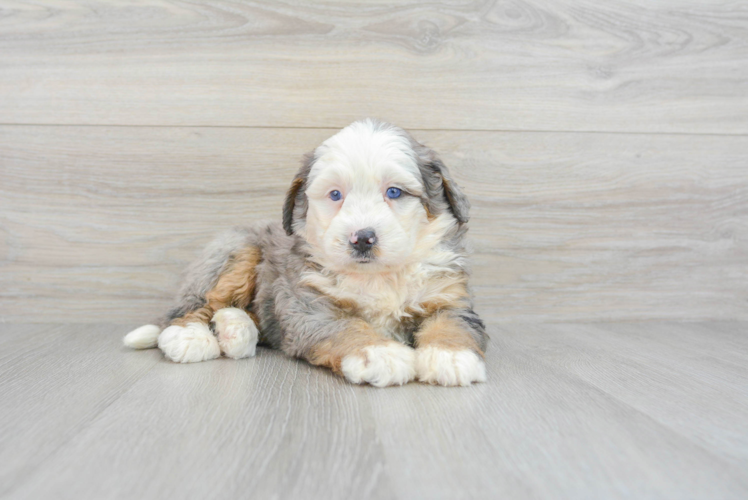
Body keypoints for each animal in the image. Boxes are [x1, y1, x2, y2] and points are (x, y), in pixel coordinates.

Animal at [125, 118, 488, 386]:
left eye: (395, 192)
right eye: (335, 194)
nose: (362, 239)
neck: (377, 276)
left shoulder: (449, 297)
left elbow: (452, 323)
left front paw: (451, 356)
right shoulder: (307, 304)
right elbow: (346, 327)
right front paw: (380, 354)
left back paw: (234, 329)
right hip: (237, 252)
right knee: (188, 308)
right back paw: (190, 338)